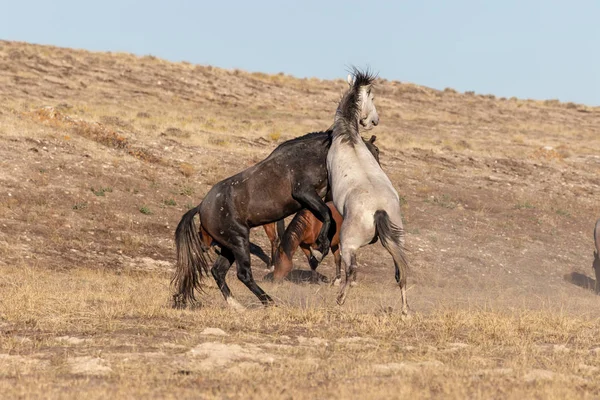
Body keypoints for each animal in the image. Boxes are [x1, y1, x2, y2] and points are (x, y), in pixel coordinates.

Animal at [171, 128, 378, 310]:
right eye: (372, 152)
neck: (310, 157)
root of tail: (201, 207)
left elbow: (330, 219)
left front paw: (320, 248)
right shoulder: (305, 193)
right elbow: (327, 215)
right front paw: (320, 249)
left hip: (228, 247)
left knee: (218, 272)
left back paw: (237, 306)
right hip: (238, 241)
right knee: (243, 274)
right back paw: (268, 301)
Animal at [326, 67, 410, 314]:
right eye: (372, 97)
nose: (375, 120)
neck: (349, 139)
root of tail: (378, 211)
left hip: (349, 244)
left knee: (352, 269)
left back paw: (340, 299)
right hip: (398, 241)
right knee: (400, 273)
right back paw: (405, 311)